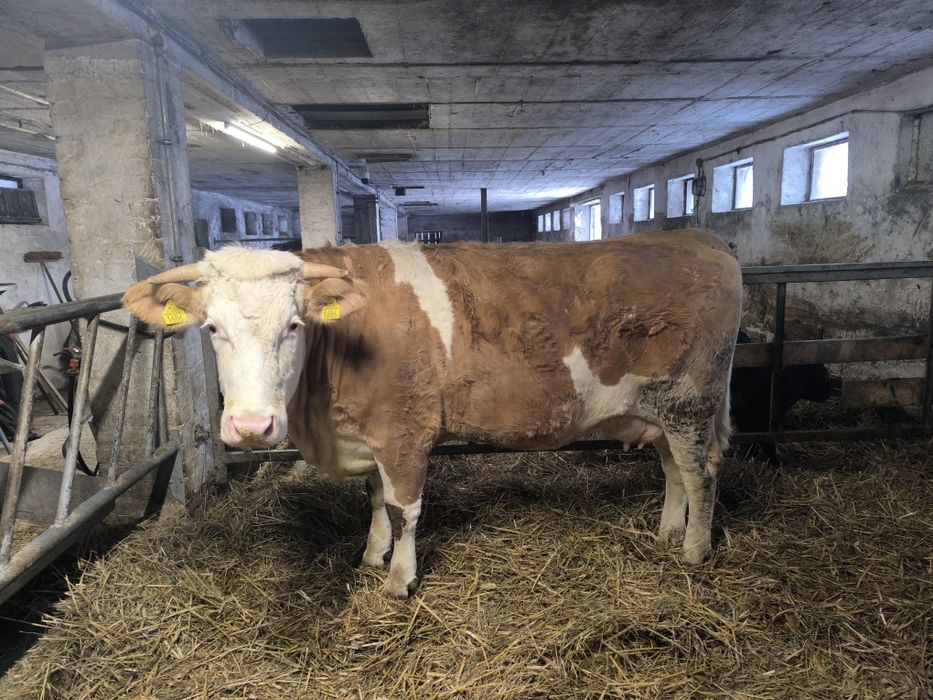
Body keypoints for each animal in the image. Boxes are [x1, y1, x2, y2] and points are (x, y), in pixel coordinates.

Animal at [123, 229, 742, 597]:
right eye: (212, 328)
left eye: (294, 325)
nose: (252, 427)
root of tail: (696, 237)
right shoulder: (369, 435)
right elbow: (375, 499)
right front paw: (371, 556)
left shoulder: (404, 431)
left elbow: (405, 509)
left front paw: (400, 580)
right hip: (656, 410)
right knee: (672, 469)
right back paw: (667, 533)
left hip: (690, 400)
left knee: (701, 471)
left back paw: (694, 551)